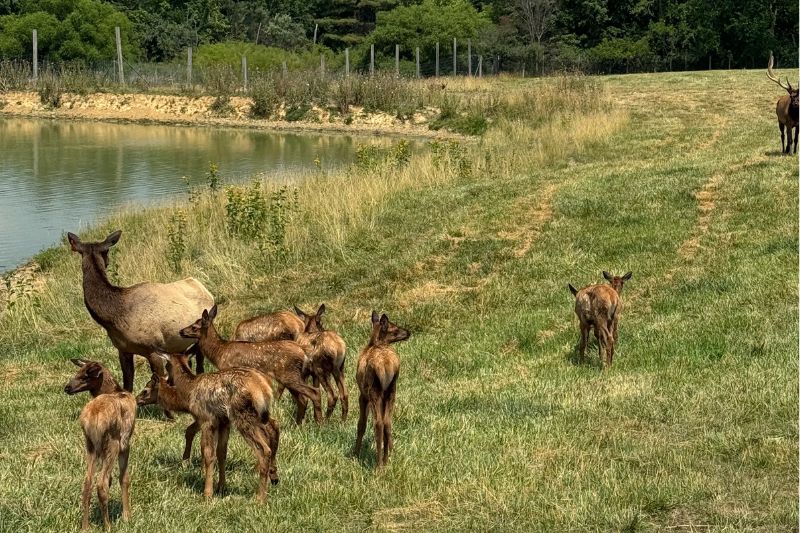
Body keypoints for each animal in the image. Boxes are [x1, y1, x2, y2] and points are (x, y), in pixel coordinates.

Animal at [64, 359, 136, 531]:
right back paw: (108, 526)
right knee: (101, 484)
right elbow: (123, 478)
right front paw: (127, 516)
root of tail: (92, 419)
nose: (67, 387)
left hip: (91, 446)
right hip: (112, 443)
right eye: (79, 372)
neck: (115, 390)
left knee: (87, 483)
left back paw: (85, 527)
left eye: (84, 375)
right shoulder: (125, 443)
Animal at [66, 230, 215, 392]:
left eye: (107, 253)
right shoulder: (122, 350)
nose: (107, 262)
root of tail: (205, 289)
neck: (114, 318)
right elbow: (128, 386)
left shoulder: (154, 349)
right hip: (179, 345)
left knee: (200, 367)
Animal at [154, 352, 279, 501]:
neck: (189, 388)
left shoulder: (207, 420)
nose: (168, 381)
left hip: (243, 417)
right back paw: (272, 478)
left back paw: (260, 498)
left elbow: (209, 454)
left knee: (264, 449)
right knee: (273, 427)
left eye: (167, 365)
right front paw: (221, 486)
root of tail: (264, 389)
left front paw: (207, 494)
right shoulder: (224, 422)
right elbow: (221, 453)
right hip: (259, 416)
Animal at [180, 305, 323, 424]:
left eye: (194, 327)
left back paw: (319, 423)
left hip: (288, 374)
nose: (181, 331)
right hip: (290, 377)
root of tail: (303, 353)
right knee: (303, 399)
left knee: (314, 392)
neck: (219, 352)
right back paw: (298, 424)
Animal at [353, 311, 409, 469]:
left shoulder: (362, 395)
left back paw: (378, 465)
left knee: (378, 424)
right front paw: (391, 451)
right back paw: (386, 459)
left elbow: (361, 424)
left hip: (374, 391)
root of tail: (386, 365)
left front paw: (355, 453)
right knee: (387, 422)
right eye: (394, 329)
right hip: (391, 390)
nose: (408, 332)